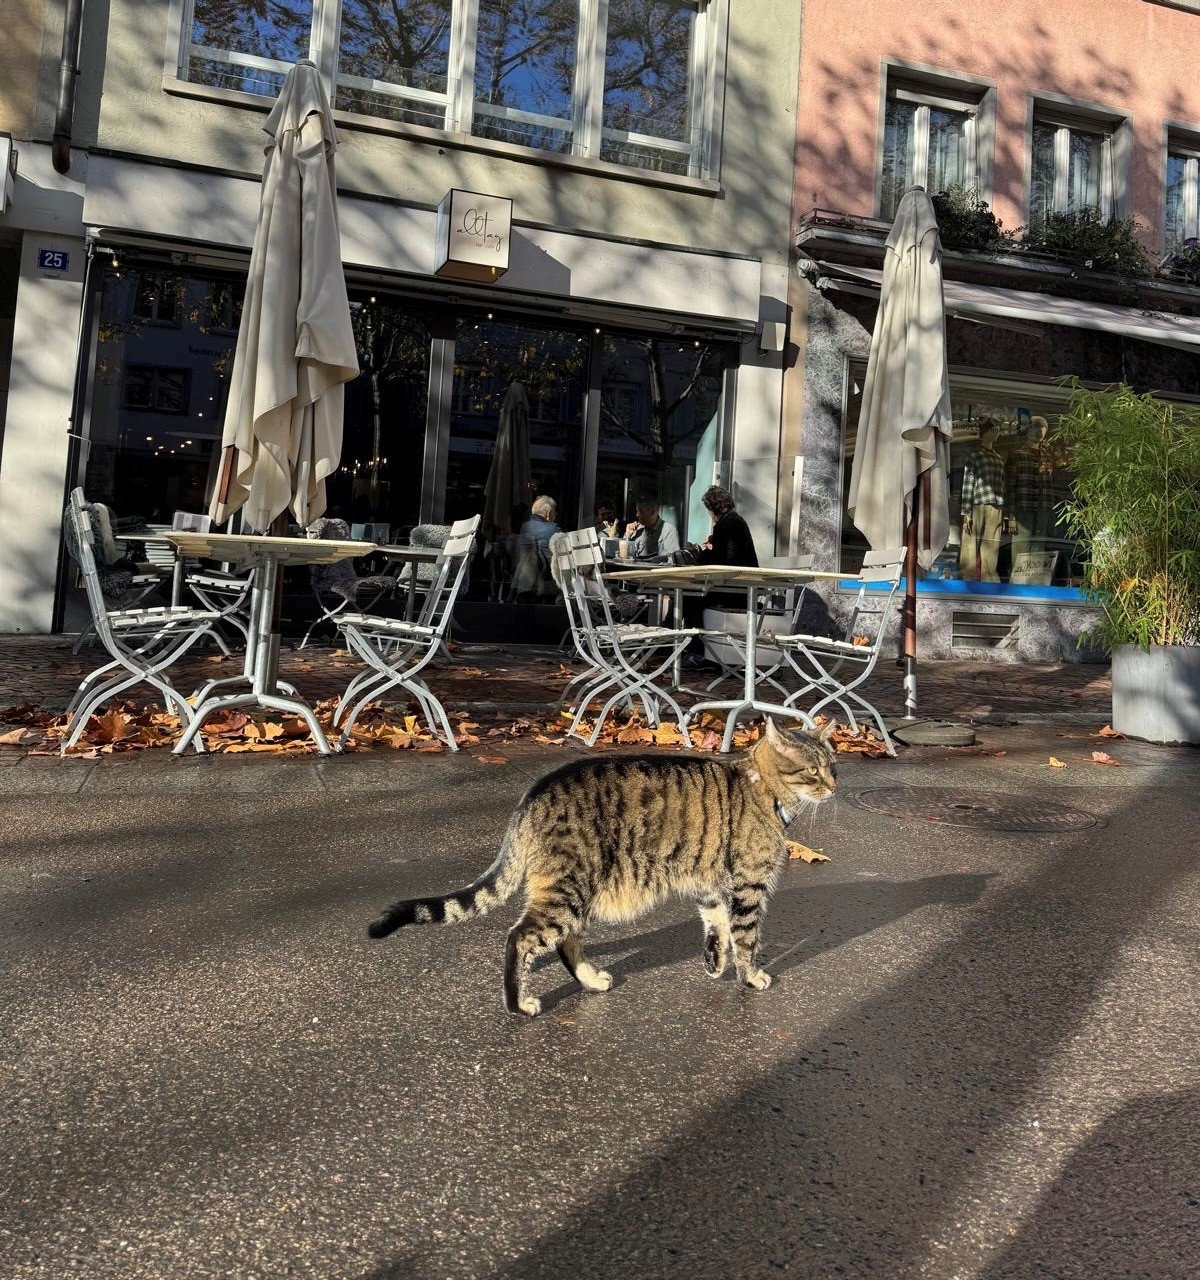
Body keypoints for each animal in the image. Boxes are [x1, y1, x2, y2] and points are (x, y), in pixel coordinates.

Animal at [367, 717, 838, 1017]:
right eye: (814, 771)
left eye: (833, 765)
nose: (835, 786)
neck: (764, 789)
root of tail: (530, 799)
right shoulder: (749, 885)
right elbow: (746, 937)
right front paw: (750, 975)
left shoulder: (705, 882)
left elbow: (716, 922)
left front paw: (714, 962)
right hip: (569, 889)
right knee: (521, 937)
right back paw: (518, 1004)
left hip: (580, 892)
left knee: (565, 942)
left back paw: (591, 981)